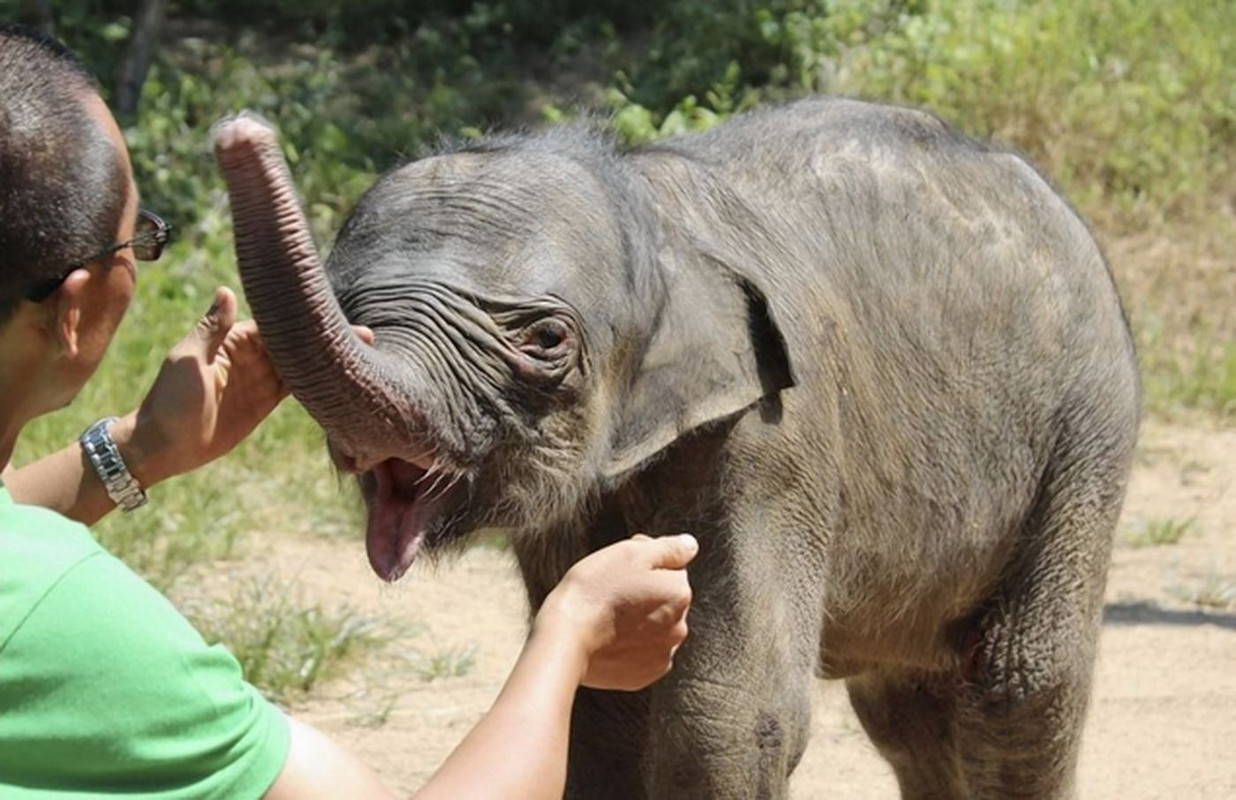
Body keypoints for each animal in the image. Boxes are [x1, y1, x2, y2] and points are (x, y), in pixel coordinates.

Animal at [213, 97, 1140, 799]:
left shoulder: (776, 434)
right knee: (906, 710)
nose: (237, 131)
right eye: (351, 309)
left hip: (1087, 430)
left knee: (1021, 685)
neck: (650, 215)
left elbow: (730, 716)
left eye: (546, 339)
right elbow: (599, 710)